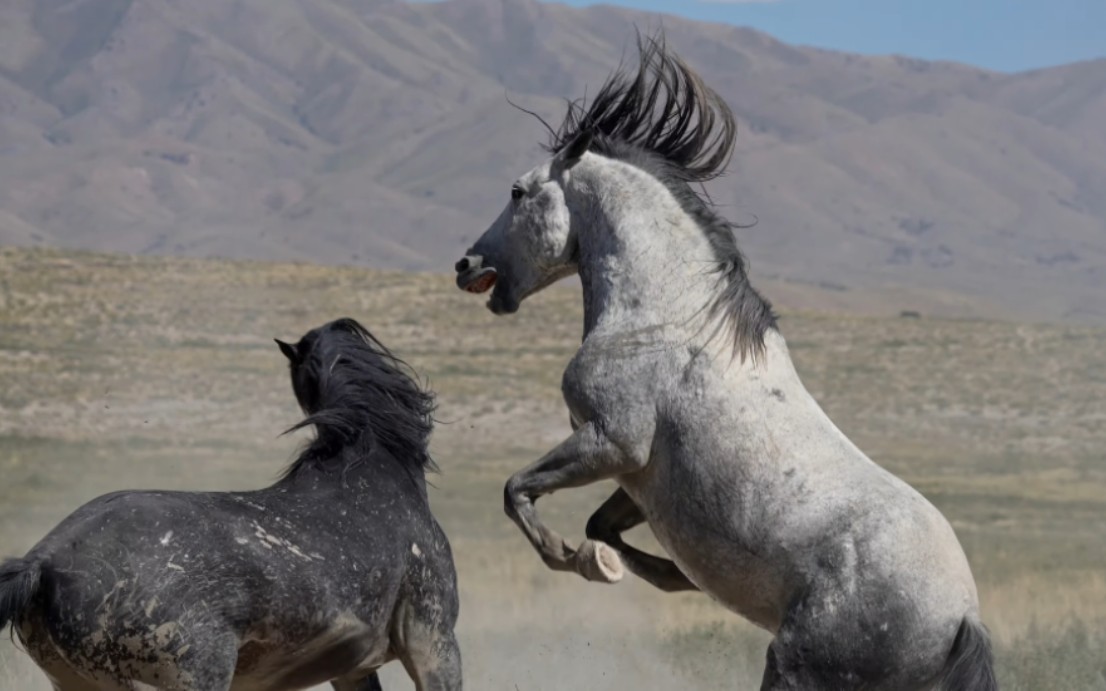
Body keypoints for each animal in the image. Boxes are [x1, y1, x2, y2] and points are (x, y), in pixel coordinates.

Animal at [453, 33, 999, 689]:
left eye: (517, 191)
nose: (466, 263)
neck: (663, 317)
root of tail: (960, 619)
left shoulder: (612, 443)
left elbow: (518, 492)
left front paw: (583, 563)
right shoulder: (640, 478)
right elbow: (601, 526)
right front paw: (646, 569)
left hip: (793, 669)